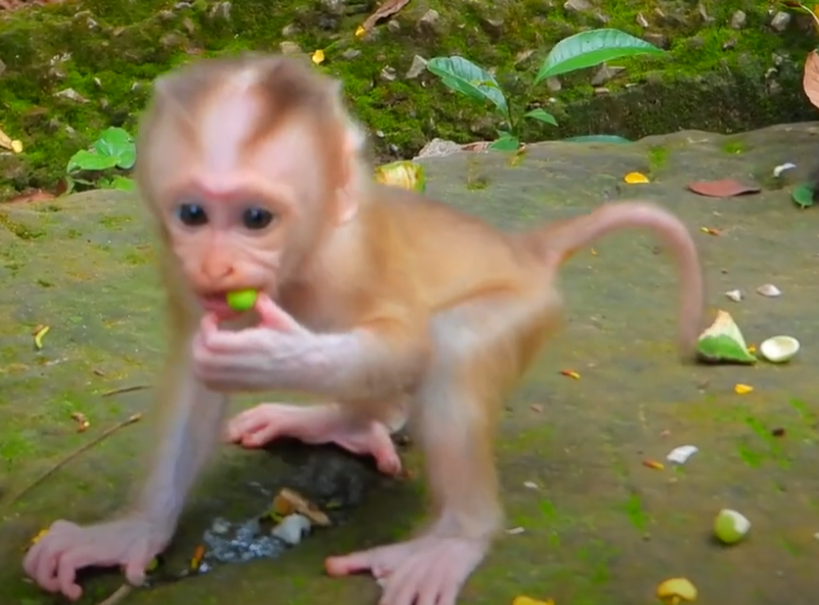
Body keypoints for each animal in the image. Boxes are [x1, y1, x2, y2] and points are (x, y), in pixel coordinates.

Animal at [22, 53, 704, 605]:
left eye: (255, 218)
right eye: (192, 214)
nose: (216, 266)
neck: (302, 260)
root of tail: (523, 249)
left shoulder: (346, 267)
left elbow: (409, 345)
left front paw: (278, 357)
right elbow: (194, 374)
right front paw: (133, 530)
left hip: (525, 304)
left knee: (454, 343)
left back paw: (455, 536)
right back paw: (344, 424)